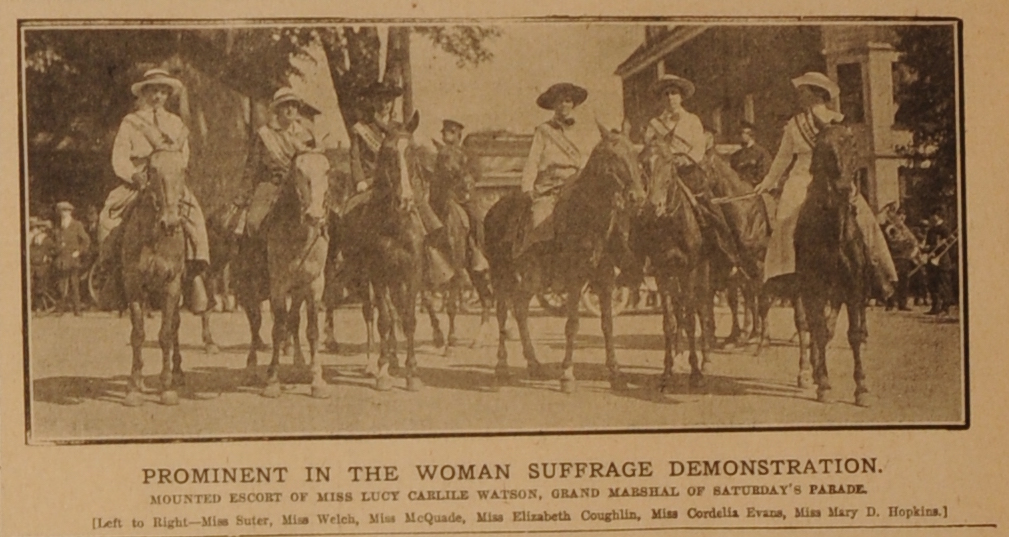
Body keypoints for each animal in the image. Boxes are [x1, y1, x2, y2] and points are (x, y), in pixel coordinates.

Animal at [245, 149, 332, 395]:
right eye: (299, 171)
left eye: (327, 170)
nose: (314, 215)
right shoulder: (278, 286)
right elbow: (277, 329)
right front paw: (273, 380)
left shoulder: (314, 285)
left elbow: (311, 331)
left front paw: (316, 379)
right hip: (250, 287)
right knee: (255, 323)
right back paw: (252, 367)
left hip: (298, 291)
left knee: (293, 320)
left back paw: (299, 363)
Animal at [341, 112, 427, 389]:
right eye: (388, 153)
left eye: (412, 151)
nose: (406, 200)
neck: (394, 225)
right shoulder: (378, 274)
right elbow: (385, 320)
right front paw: (382, 370)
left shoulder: (412, 273)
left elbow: (408, 318)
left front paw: (412, 372)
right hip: (362, 276)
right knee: (371, 313)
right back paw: (374, 363)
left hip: (395, 279)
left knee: (395, 310)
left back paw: (394, 360)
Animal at [482, 125, 641, 393]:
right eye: (612, 155)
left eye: (635, 155)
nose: (637, 196)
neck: (588, 216)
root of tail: (492, 211)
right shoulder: (575, 280)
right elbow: (572, 325)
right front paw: (567, 374)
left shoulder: (605, 279)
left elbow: (607, 325)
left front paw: (615, 373)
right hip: (500, 273)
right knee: (503, 312)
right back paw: (501, 367)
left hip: (531, 279)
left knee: (520, 308)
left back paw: (534, 363)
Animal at [795, 122, 875, 407]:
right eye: (824, 147)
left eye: (852, 146)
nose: (842, 188)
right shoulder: (814, 286)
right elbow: (816, 329)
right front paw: (824, 384)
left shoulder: (854, 284)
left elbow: (854, 333)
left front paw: (862, 387)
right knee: (810, 325)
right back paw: (809, 370)